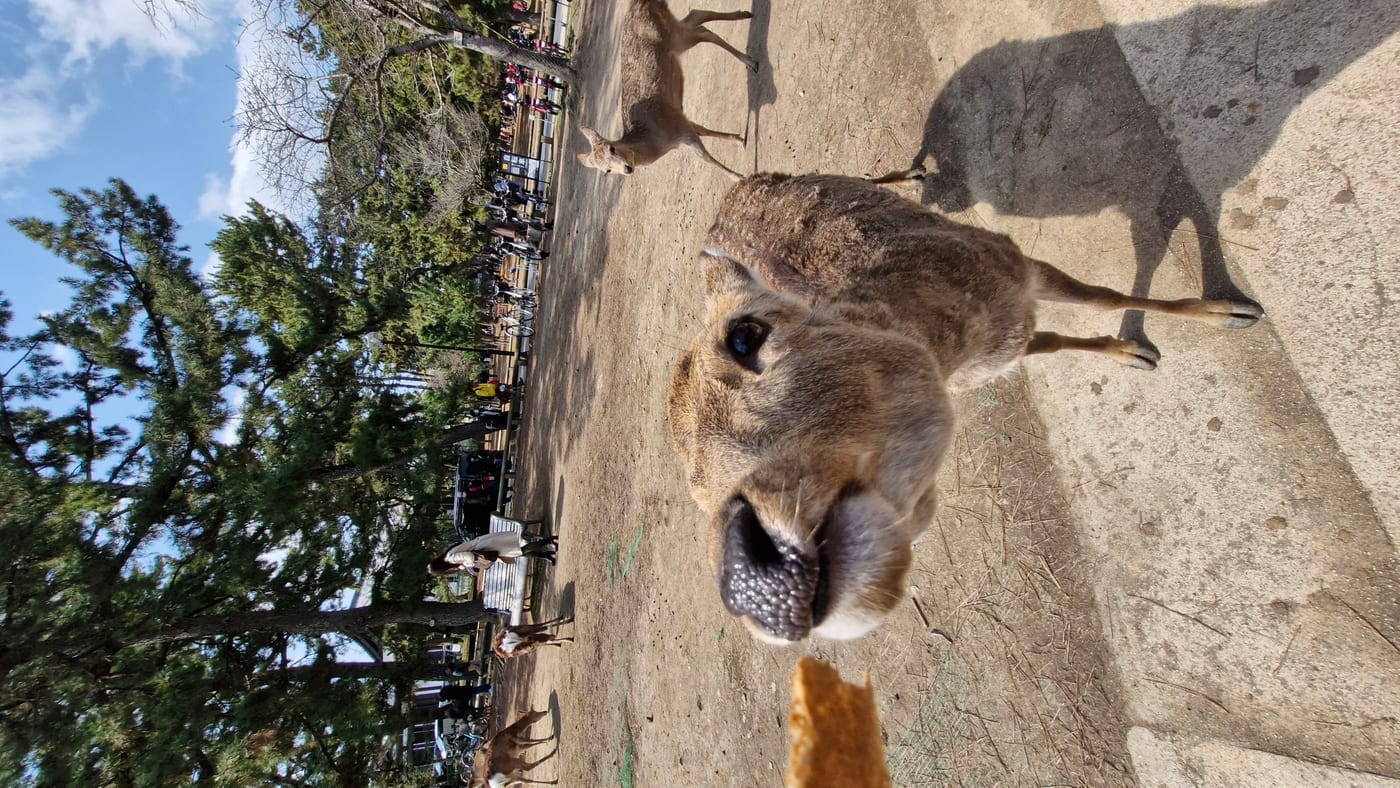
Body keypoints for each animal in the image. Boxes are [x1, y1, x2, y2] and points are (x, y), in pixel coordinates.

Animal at [577, 0, 757, 179]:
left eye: (612, 148)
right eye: (606, 170)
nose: (627, 169)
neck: (659, 142)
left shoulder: (679, 126)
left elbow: (704, 156)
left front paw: (739, 177)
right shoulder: (680, 116)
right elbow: (704, 130)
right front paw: (739, 139)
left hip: (675, 36)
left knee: (703, 32)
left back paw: (750, 59)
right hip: (672, 28)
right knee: (696, 17)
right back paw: (744, 16)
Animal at [666, 173, 1263, 645]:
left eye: (745, 335)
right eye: (697, 492)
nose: (747, 579)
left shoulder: (1013, 256)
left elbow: (1105, 295)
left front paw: (1230, 311)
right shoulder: (1003, 344)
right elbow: (1054, 340)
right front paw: (1134, 351)